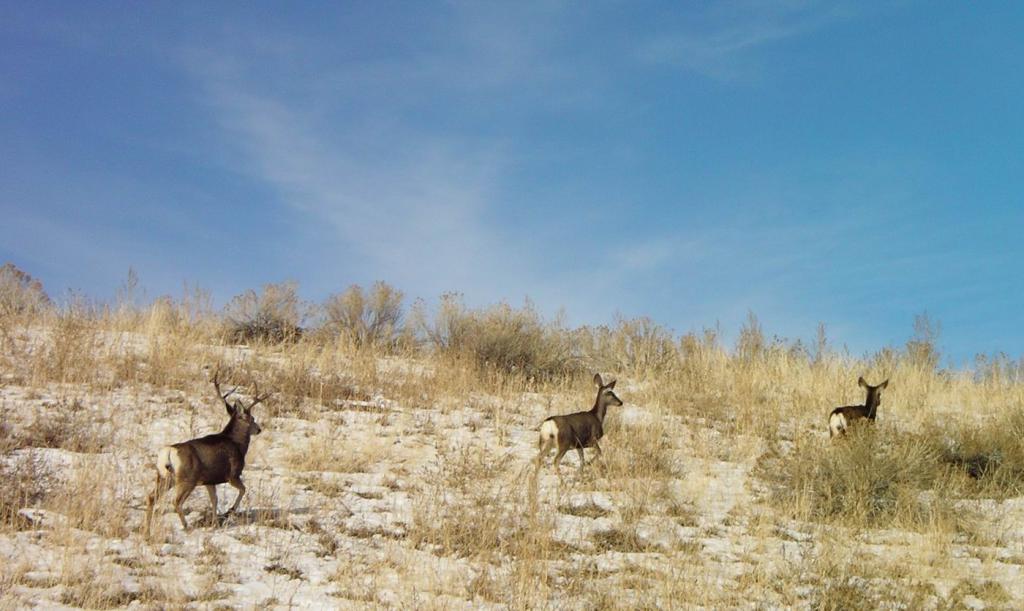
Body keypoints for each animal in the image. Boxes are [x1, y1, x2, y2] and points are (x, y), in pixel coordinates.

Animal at [147, 368, 272, 536]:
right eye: (252, 418)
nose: (258, 429)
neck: (237, 444)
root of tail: (169, 451)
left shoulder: (209, 480)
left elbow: (214, 500)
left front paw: (215, 523)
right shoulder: (232, 474)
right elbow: (243, 490)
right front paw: (229, 511)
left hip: (164, 477)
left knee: (151, 497)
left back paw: (147, 528)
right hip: (187, 478)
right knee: (176, 501)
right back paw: (186, 526)